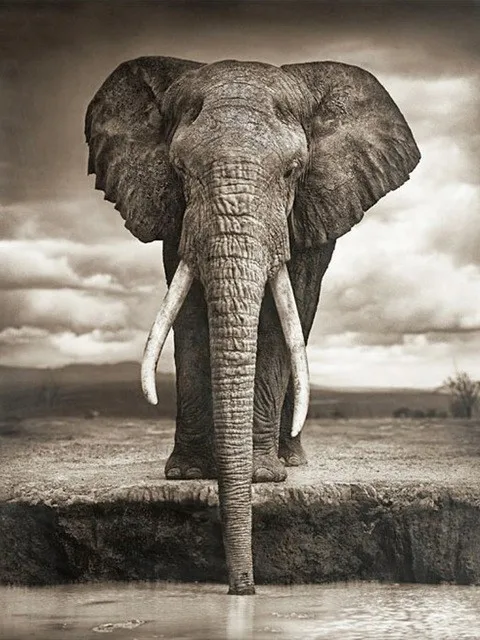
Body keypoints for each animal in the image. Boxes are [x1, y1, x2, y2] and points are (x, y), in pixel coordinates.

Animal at [85, 56, 420, 595]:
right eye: (179, 169)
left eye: (293, 170)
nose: (243, 588)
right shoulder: (176, 215)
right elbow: (190, 315)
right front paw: (188, 474)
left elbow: (282, 320)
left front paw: (262, 477)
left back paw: (291, 461)